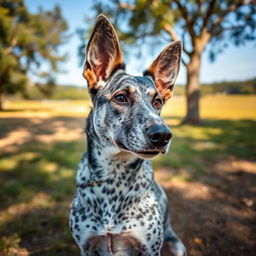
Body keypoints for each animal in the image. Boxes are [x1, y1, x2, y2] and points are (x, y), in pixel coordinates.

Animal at [70, 14, 186, 256]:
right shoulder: (86, 246)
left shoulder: (149, 248)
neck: (113, 181)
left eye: (157, 102)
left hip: (176, 245)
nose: (163, 135)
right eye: (121, 97)